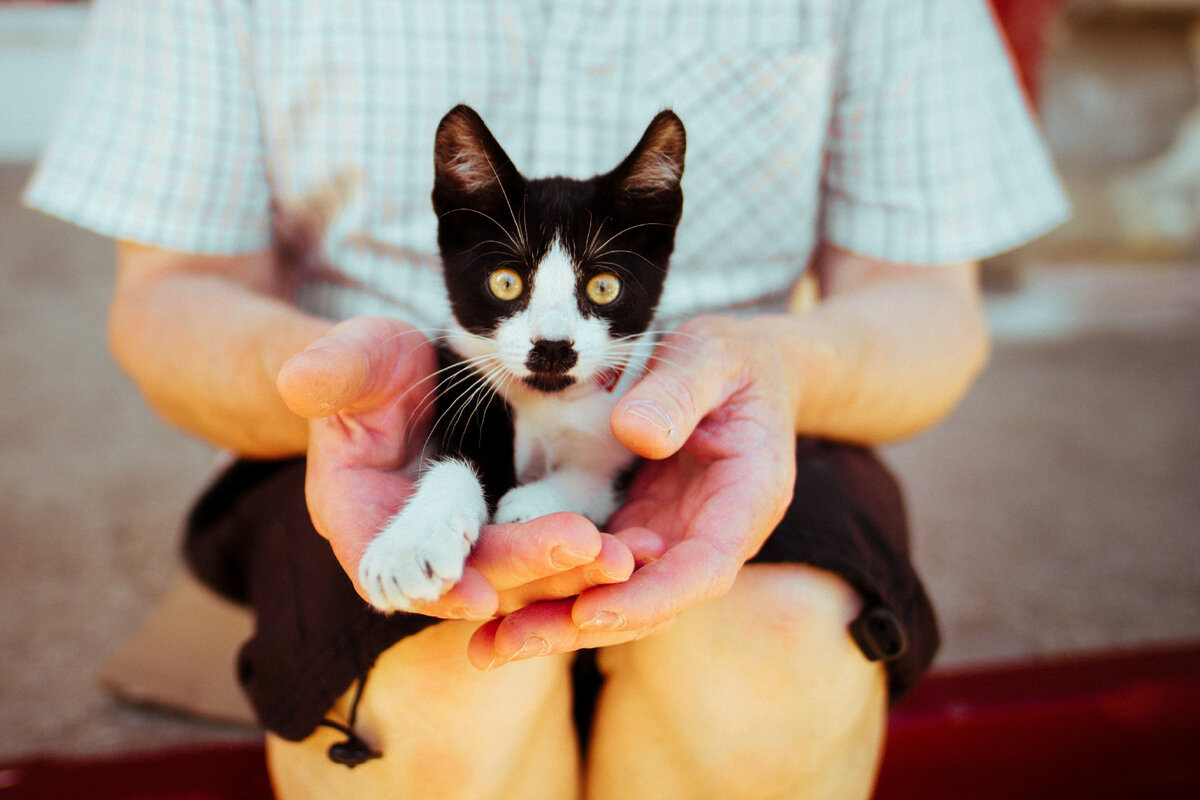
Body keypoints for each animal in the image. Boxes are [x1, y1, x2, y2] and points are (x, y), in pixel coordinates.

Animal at [357, 106, 686, 614]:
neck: (548, 400)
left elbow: (597, 474)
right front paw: (409, 547)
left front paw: (534, 502)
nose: (552, 345)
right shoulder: (461, 374)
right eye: (506, 282)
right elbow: (455, 463)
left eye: (603, 286)